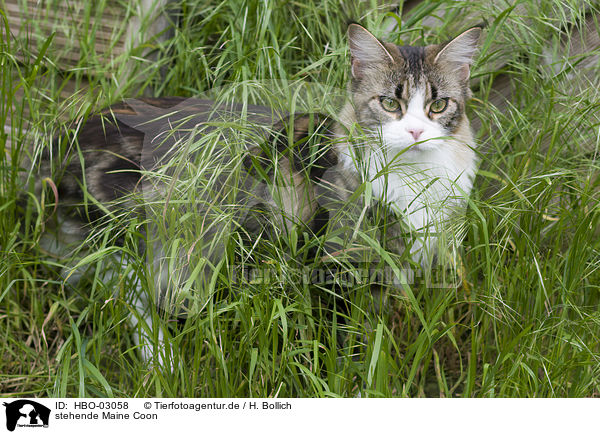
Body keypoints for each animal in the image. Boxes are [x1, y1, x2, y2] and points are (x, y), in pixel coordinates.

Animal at [39, 22, 480, 362]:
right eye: (389, 103)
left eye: (438, 106)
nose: (416, 131)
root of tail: (66, 138)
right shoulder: (333, 265)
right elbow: (348, 348)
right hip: (153, 232)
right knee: (130, 291)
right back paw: (160, 360)